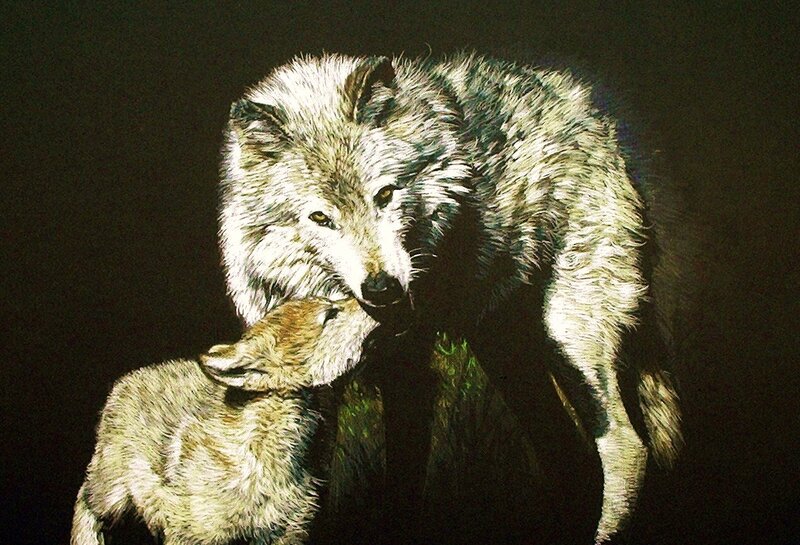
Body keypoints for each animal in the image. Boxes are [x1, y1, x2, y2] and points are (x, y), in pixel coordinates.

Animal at [71, 297, 378, 545]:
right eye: (330, 314)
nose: (378, 301)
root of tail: (125, 381)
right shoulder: (191, 534)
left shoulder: (288, 533)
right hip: (111, 493)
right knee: (86, 502)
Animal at [219, 52, 685, 543]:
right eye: (321, 218)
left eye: (385, 194)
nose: (383, 289)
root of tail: (591, 117)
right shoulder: (311, 392)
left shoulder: (409, 373)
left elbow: (403, 484)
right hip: (508, 355)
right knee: (564, 447)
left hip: (570, 338)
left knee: (626, 444)